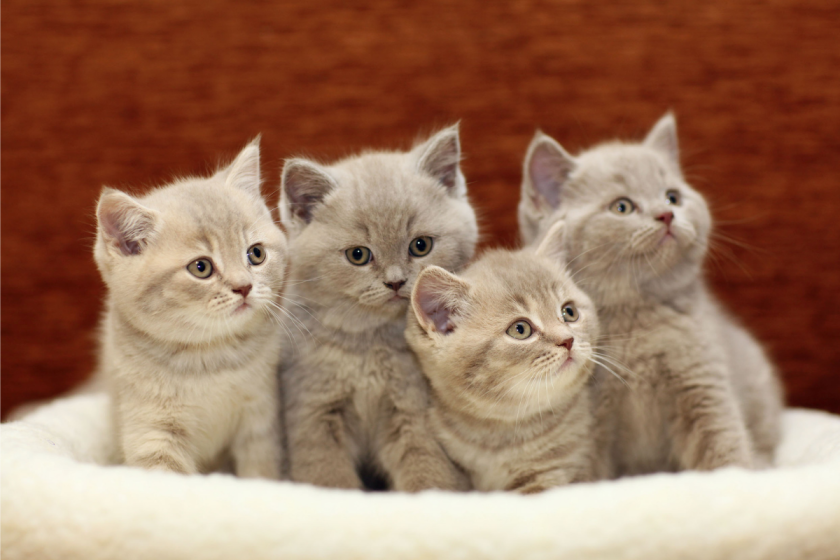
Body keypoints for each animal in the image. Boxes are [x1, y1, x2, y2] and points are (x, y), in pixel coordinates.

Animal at [94, 140, 286, 476]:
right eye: (201, 268)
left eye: (256, 254)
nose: (244, 286)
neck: (210, 357)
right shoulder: (151, 429)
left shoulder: (261, 420)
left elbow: (261, 471)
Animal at [280, 126, 480, 490]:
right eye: (358, 255)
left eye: (421, 245)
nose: (396, 282)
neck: (369, 344)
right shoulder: (312, 414)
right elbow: (328, 479)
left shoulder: (413, 411)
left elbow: (428, 471)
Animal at [520, 115, 788, 476]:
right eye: (622, 207)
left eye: (672, 196)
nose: (667, 214)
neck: (637, 315)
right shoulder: (590, 416)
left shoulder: (702, 383)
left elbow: (723, 444)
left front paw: (734, 476)